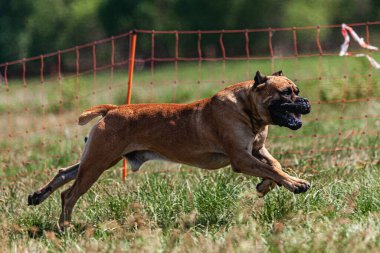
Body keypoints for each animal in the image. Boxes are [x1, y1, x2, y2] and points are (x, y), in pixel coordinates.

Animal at [27, 70, 312, 228]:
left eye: (297, 90)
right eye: (286, 93)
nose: (306, 103)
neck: (247, 108)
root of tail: (113, 109)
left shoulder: (256, 151)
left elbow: (274, 167)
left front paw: (266, 185)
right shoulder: (242, 158)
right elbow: (273, 170)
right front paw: (296, 184)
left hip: (99, 158)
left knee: (65, 172)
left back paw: (38, 196)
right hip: (98, 161)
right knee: (69, 195)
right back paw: (65, 226)